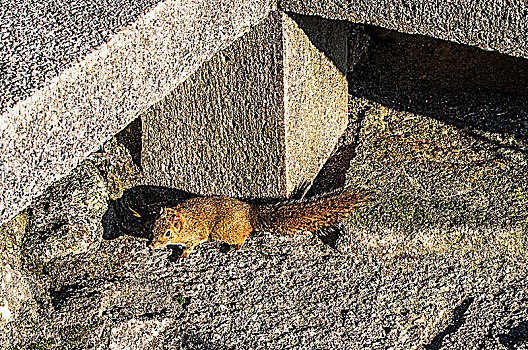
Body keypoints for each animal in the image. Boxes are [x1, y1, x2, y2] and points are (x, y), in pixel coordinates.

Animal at [146, 190, 370, 258]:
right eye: (153, 227)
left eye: (167, 233)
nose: (150, 246)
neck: (184, 220)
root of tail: (250, 214)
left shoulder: (196, 233)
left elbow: (192, 244)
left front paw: (183, 254)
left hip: (223, 231)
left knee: (243, 234)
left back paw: (235, 247)